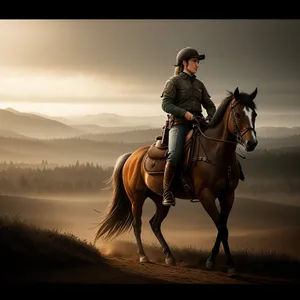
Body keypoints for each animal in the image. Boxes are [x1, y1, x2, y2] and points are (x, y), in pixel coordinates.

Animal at [95, 86, 258, 274]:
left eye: (254, 114)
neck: (215, 152)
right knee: (137, 223)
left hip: (160, 200)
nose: (251, 143)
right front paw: (228, 265)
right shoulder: (206, 196)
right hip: (136, 198)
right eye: (237, 114)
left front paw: (213, 261)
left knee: (155, 223)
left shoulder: (228, 196)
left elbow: (222, 228)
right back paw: (143, 256)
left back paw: (169, 256)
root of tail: (131, 156)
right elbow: (221, 228)